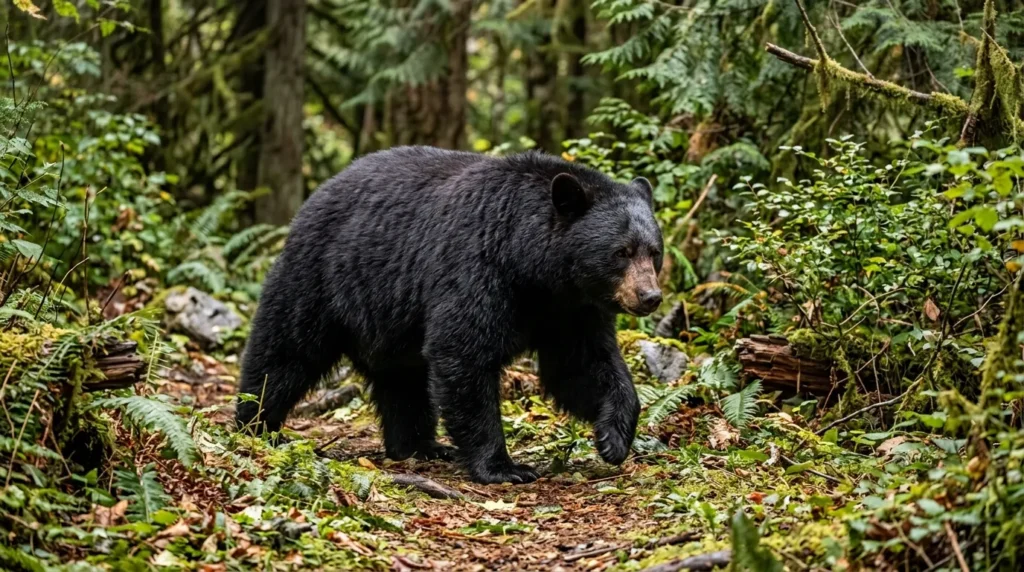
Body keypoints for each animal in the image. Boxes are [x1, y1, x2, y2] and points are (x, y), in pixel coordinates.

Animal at [235, 146, 664, 484]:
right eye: (621, 252)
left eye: (653, 251)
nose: (650, 296)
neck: (532, 269)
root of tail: (317, 193)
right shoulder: (478, 268)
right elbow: (464, 352)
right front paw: (504, 467)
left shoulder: (571, 309)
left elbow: (582, 366)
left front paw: (613, 438)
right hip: (322, 278)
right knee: (285, 352)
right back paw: (255, 425)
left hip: (389, 319)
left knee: (403, 380)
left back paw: (419, 446)